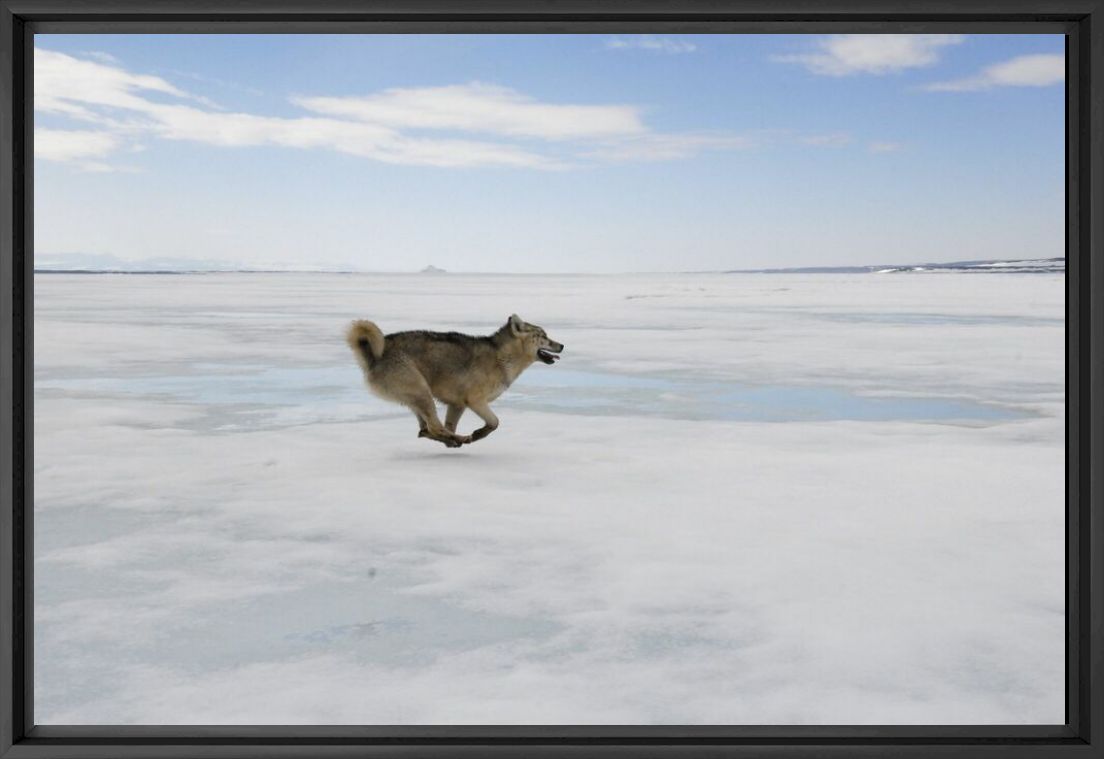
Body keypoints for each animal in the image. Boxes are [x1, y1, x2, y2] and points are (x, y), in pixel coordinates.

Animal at [346, 313, 569, 447]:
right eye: (544, 335)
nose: (562, 345)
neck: (502, 357)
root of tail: (373, 357)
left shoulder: (457, 403)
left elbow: (451, 423)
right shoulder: (475, 400)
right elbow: (494, 422)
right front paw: (477, 434)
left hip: (417, 398)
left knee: (425, 430)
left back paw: (452, 440)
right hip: (422, 392)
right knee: (433, 427)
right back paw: (460, 438)